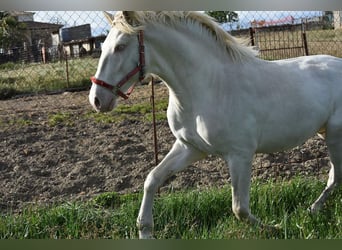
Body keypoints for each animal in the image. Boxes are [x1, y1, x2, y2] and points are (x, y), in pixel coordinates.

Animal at [89, 11, 342, 238]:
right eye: (103, 46)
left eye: (120, 46)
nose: (97, 99)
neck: (208, 88)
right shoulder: (190, 147)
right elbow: (152, 179)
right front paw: (145, 231)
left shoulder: (240, 155)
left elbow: (239, 209)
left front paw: (275, 228)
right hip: (323, 133)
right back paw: (313, 210)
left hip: (334, 136)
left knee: (335, 175)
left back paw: (312, 210)